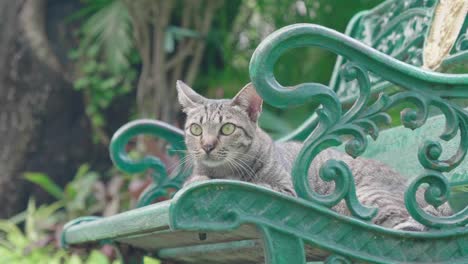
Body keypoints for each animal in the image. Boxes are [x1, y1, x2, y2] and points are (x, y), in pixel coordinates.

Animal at [176, 81, 450, 231]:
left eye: (227, 129)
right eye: (196, 129)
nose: (207, 145)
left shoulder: (285, 189)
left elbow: (248, 183)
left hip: (370, 197)